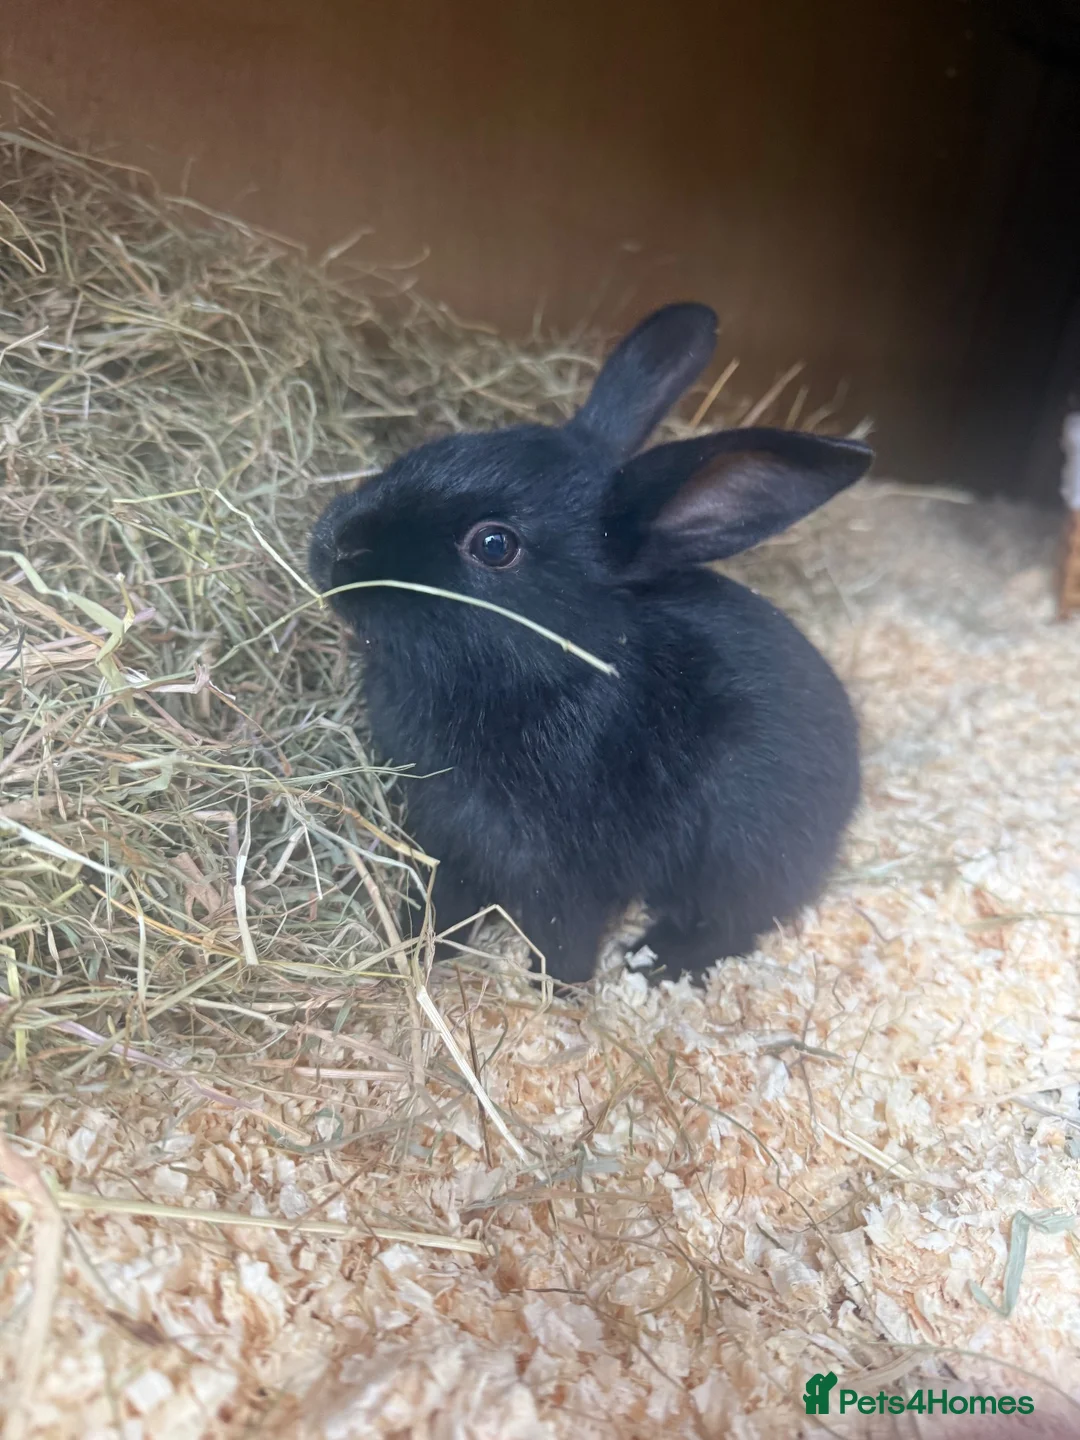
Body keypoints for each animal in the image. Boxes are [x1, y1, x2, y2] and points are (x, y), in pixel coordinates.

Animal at [308, 303, 872, 984]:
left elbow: (561, 938)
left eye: (494, 545)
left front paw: (555, 990)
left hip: (743, 856)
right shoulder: (444, 836)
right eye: (439, 446)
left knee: (735, 926)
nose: (333, 545)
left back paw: (653, 963)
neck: (552, 672)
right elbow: (442, 903)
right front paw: (417, 951)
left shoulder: (559, 873)